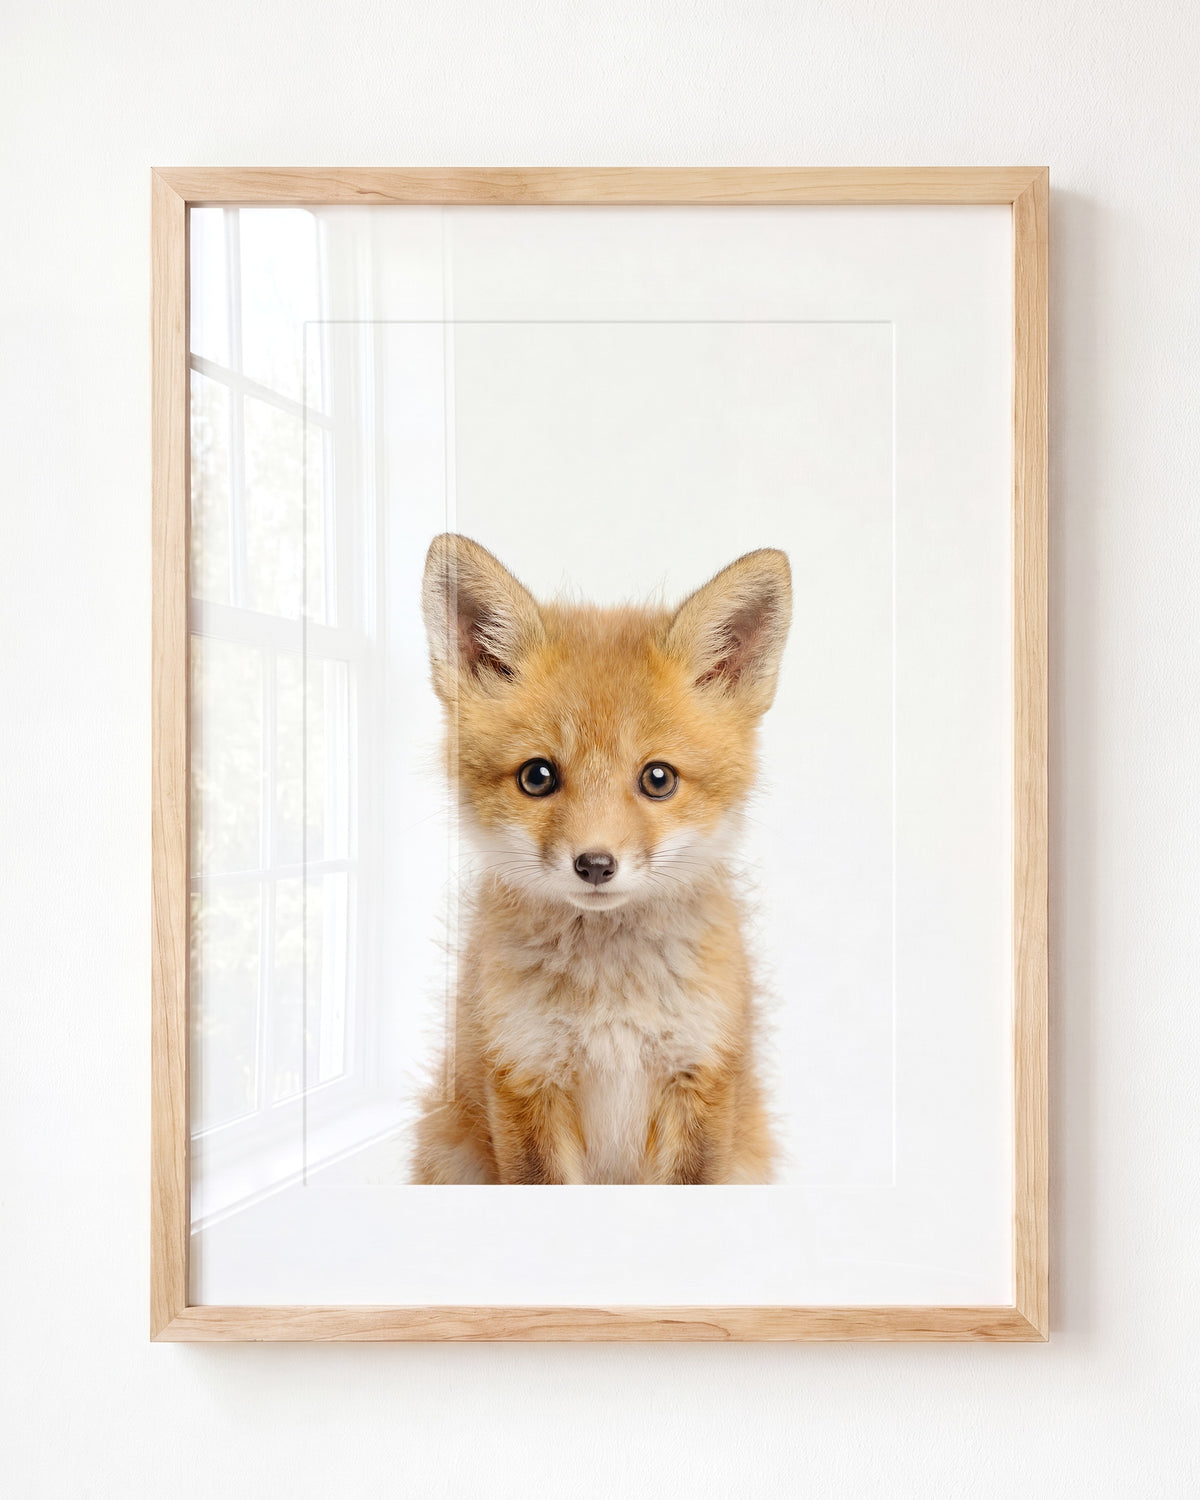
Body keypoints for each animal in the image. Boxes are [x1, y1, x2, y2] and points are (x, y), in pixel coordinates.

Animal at [411, 533, 792, 1185]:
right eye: (537, 776)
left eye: (658, 779)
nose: (594, 864)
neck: (611, 1003)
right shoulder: (524, 1075)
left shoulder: (700, 1076)